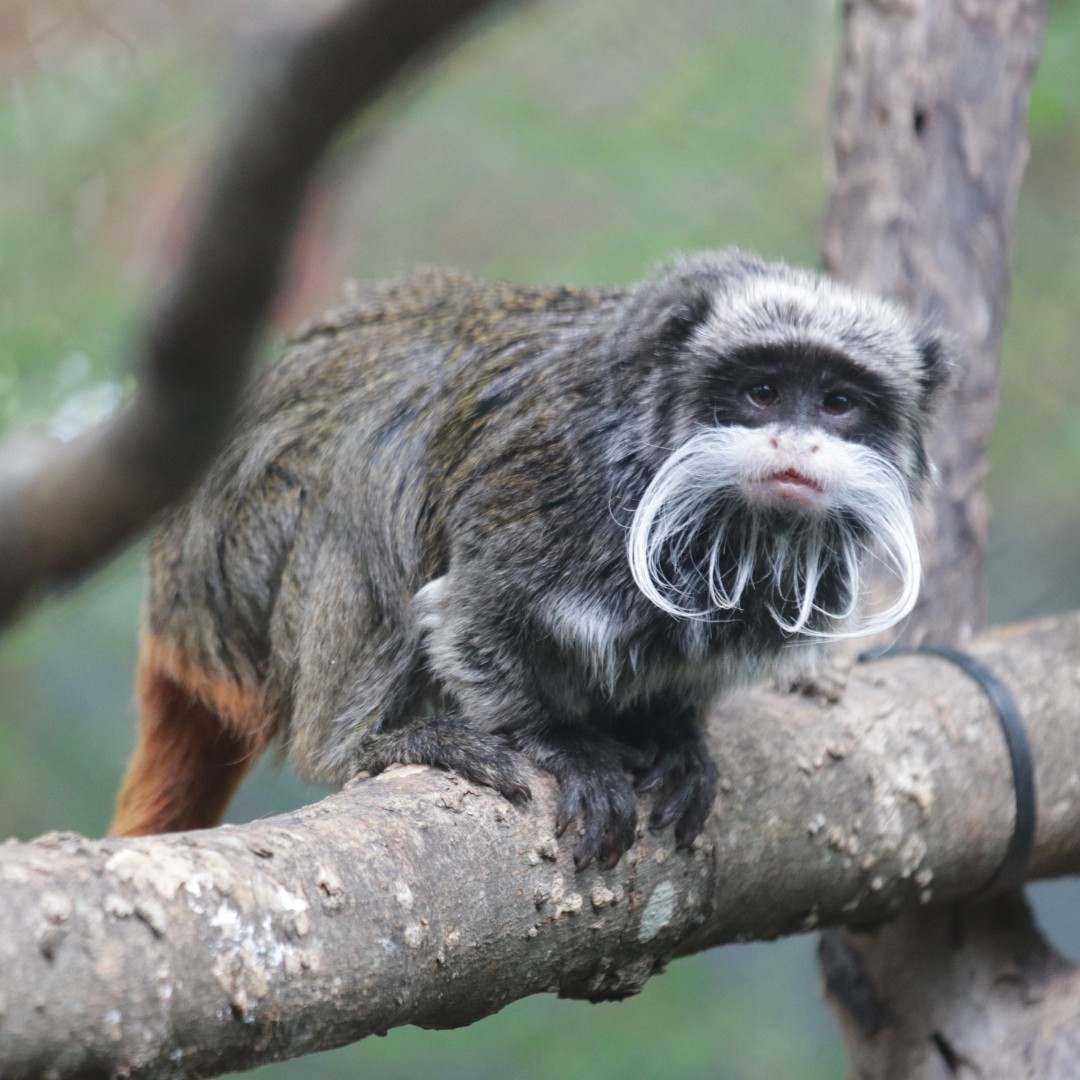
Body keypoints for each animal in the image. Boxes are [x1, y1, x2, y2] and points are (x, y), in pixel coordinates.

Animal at [110, 249, 948, 870]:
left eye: (839, 403)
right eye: (763, 391)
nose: (797, 444)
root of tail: (170, 607)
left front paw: (674, 735)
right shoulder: (548, 488)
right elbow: (469, 619)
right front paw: (563, 745)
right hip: (236, 568)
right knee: (371, 469)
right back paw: (364, 741)